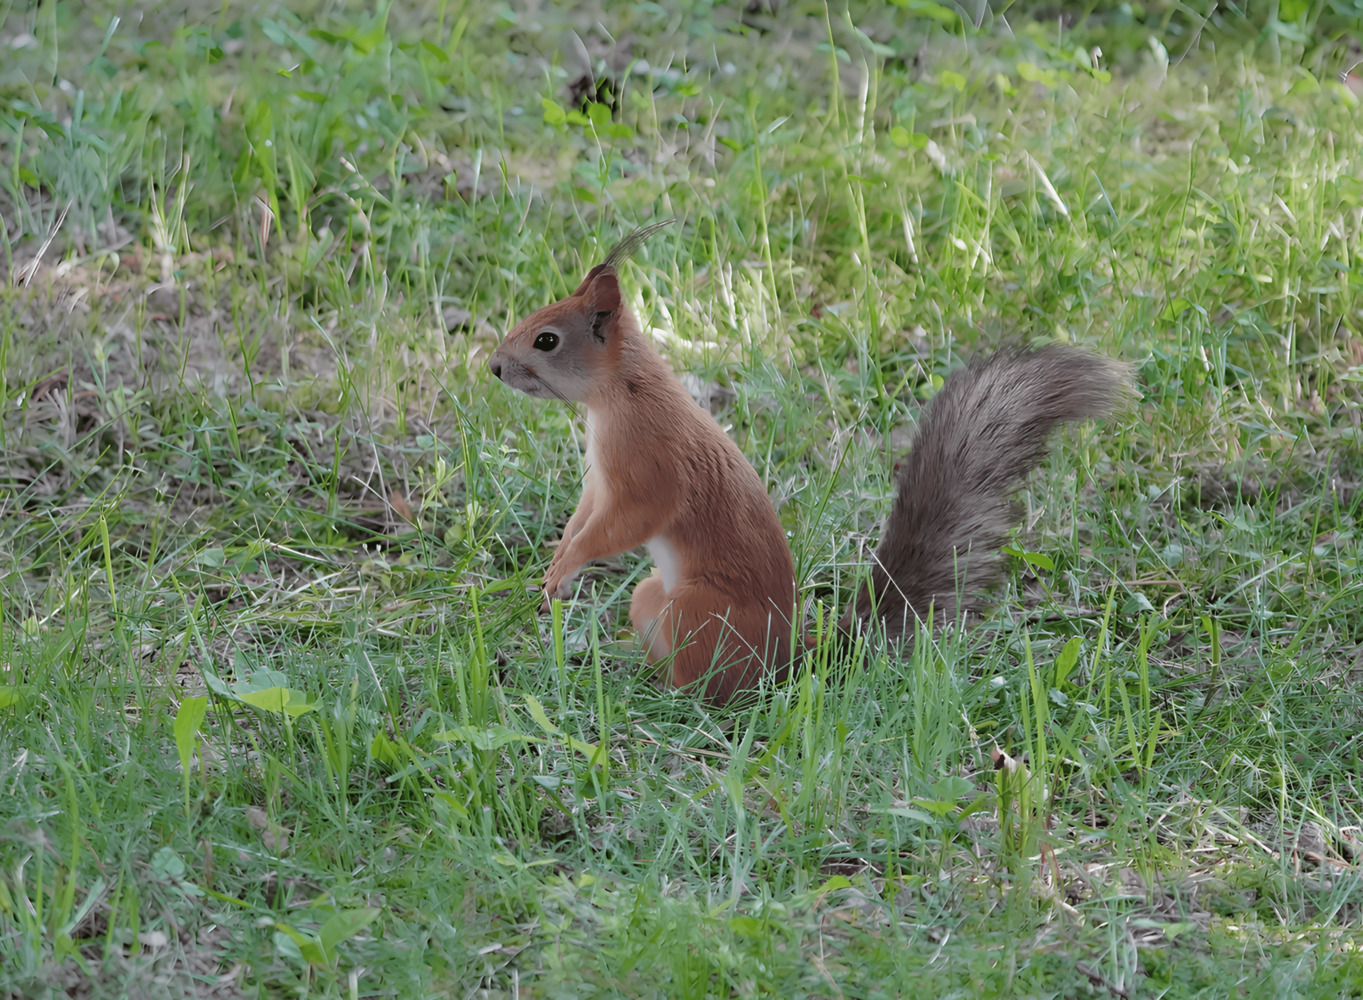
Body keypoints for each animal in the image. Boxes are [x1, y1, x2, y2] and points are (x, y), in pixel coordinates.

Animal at [488, 223, 1131, 705]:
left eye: (547, 340)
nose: (493, 368)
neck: (620, 393)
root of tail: (786, 662)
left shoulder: (650, 463)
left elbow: (627, 522)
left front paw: (566, 567)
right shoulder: (600, 478)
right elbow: (586, 515)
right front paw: (556, 561)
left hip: (697, 613)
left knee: (710, 689)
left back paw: (659, 692)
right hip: (651, 598)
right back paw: (629, 663)